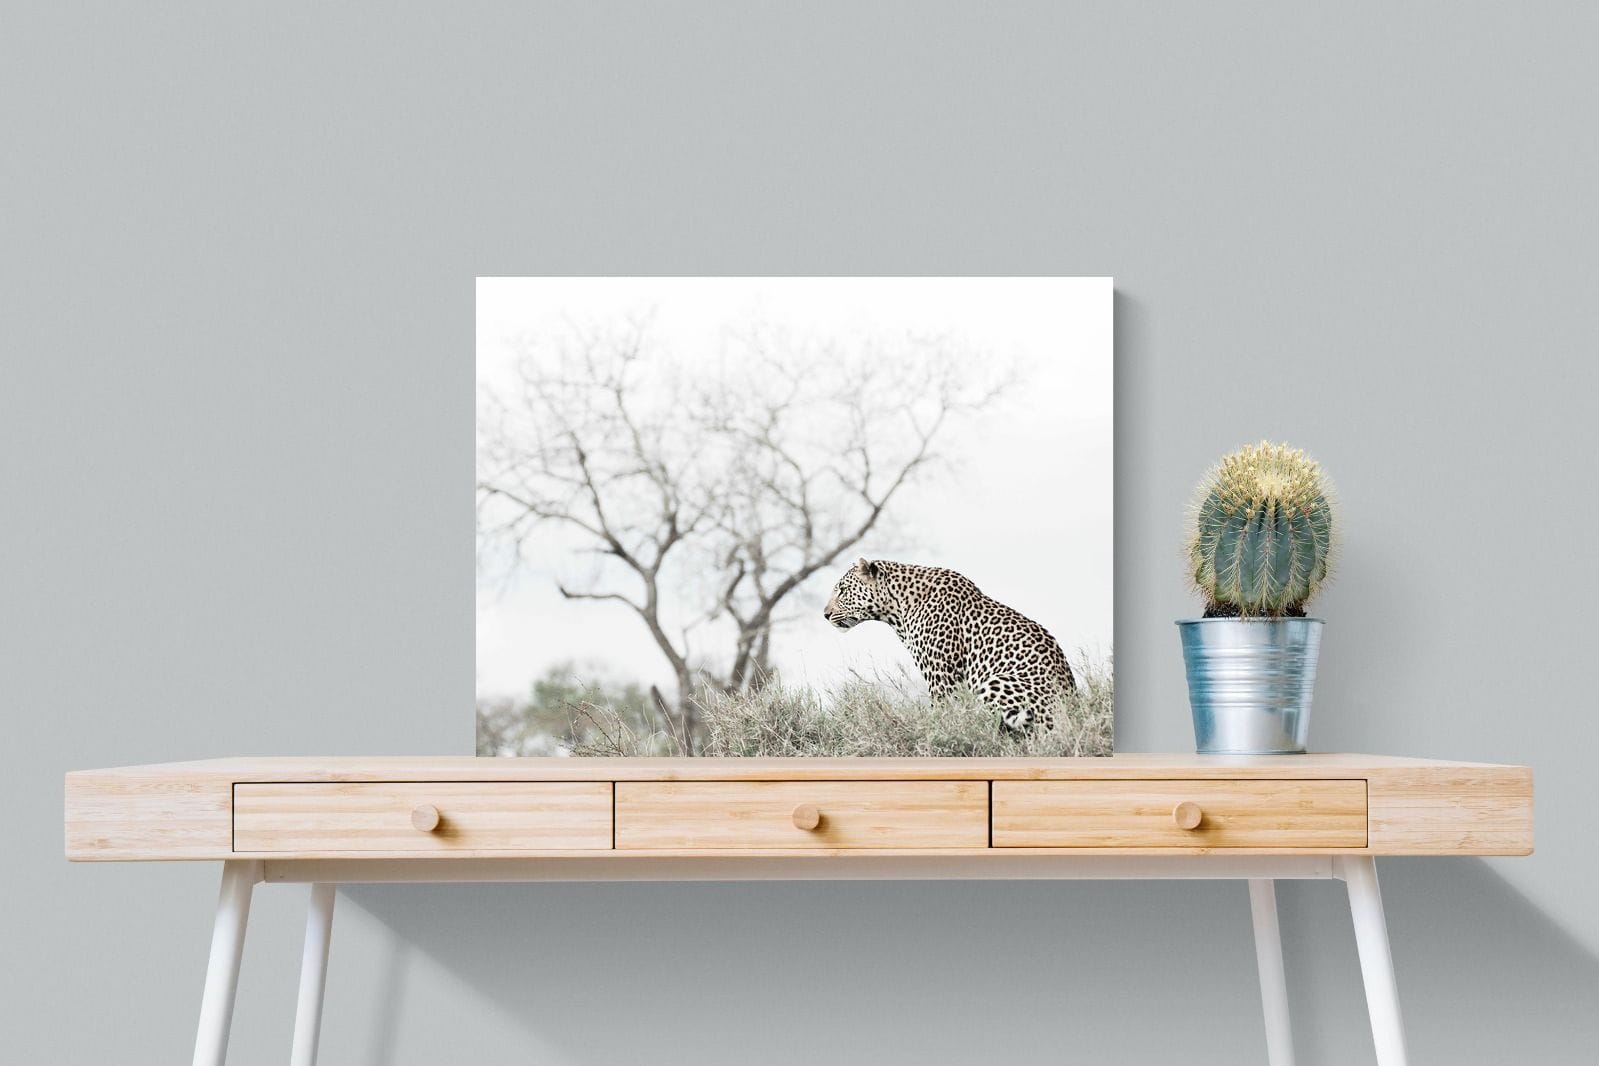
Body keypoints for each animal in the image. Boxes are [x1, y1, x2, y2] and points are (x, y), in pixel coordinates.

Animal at [822, 557, 1076, 732]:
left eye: (843, 590)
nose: (825, 614)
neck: (896, 608)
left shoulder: (941, 677)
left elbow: (941, 714)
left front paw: (935, 733)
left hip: (997, 681)